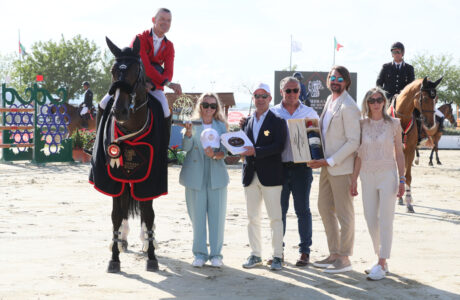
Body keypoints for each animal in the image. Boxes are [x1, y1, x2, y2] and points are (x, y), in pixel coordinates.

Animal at [89, 36, 167, 274]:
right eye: (113, 70)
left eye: (136, 70)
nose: (119, 111)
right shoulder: (112, 177)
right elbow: (116, 215)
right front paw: (114, 258)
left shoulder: (150, 179)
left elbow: (148, 214)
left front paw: (151, 256)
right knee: (123, 206)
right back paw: (122, 240)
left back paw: (146, 241)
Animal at [388, 77, 442, 213]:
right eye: (425, 99)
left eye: (436, 99)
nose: (431, 124)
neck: (401, 119)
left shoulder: (410, 150)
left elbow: (407, 175)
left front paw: (408, 202)